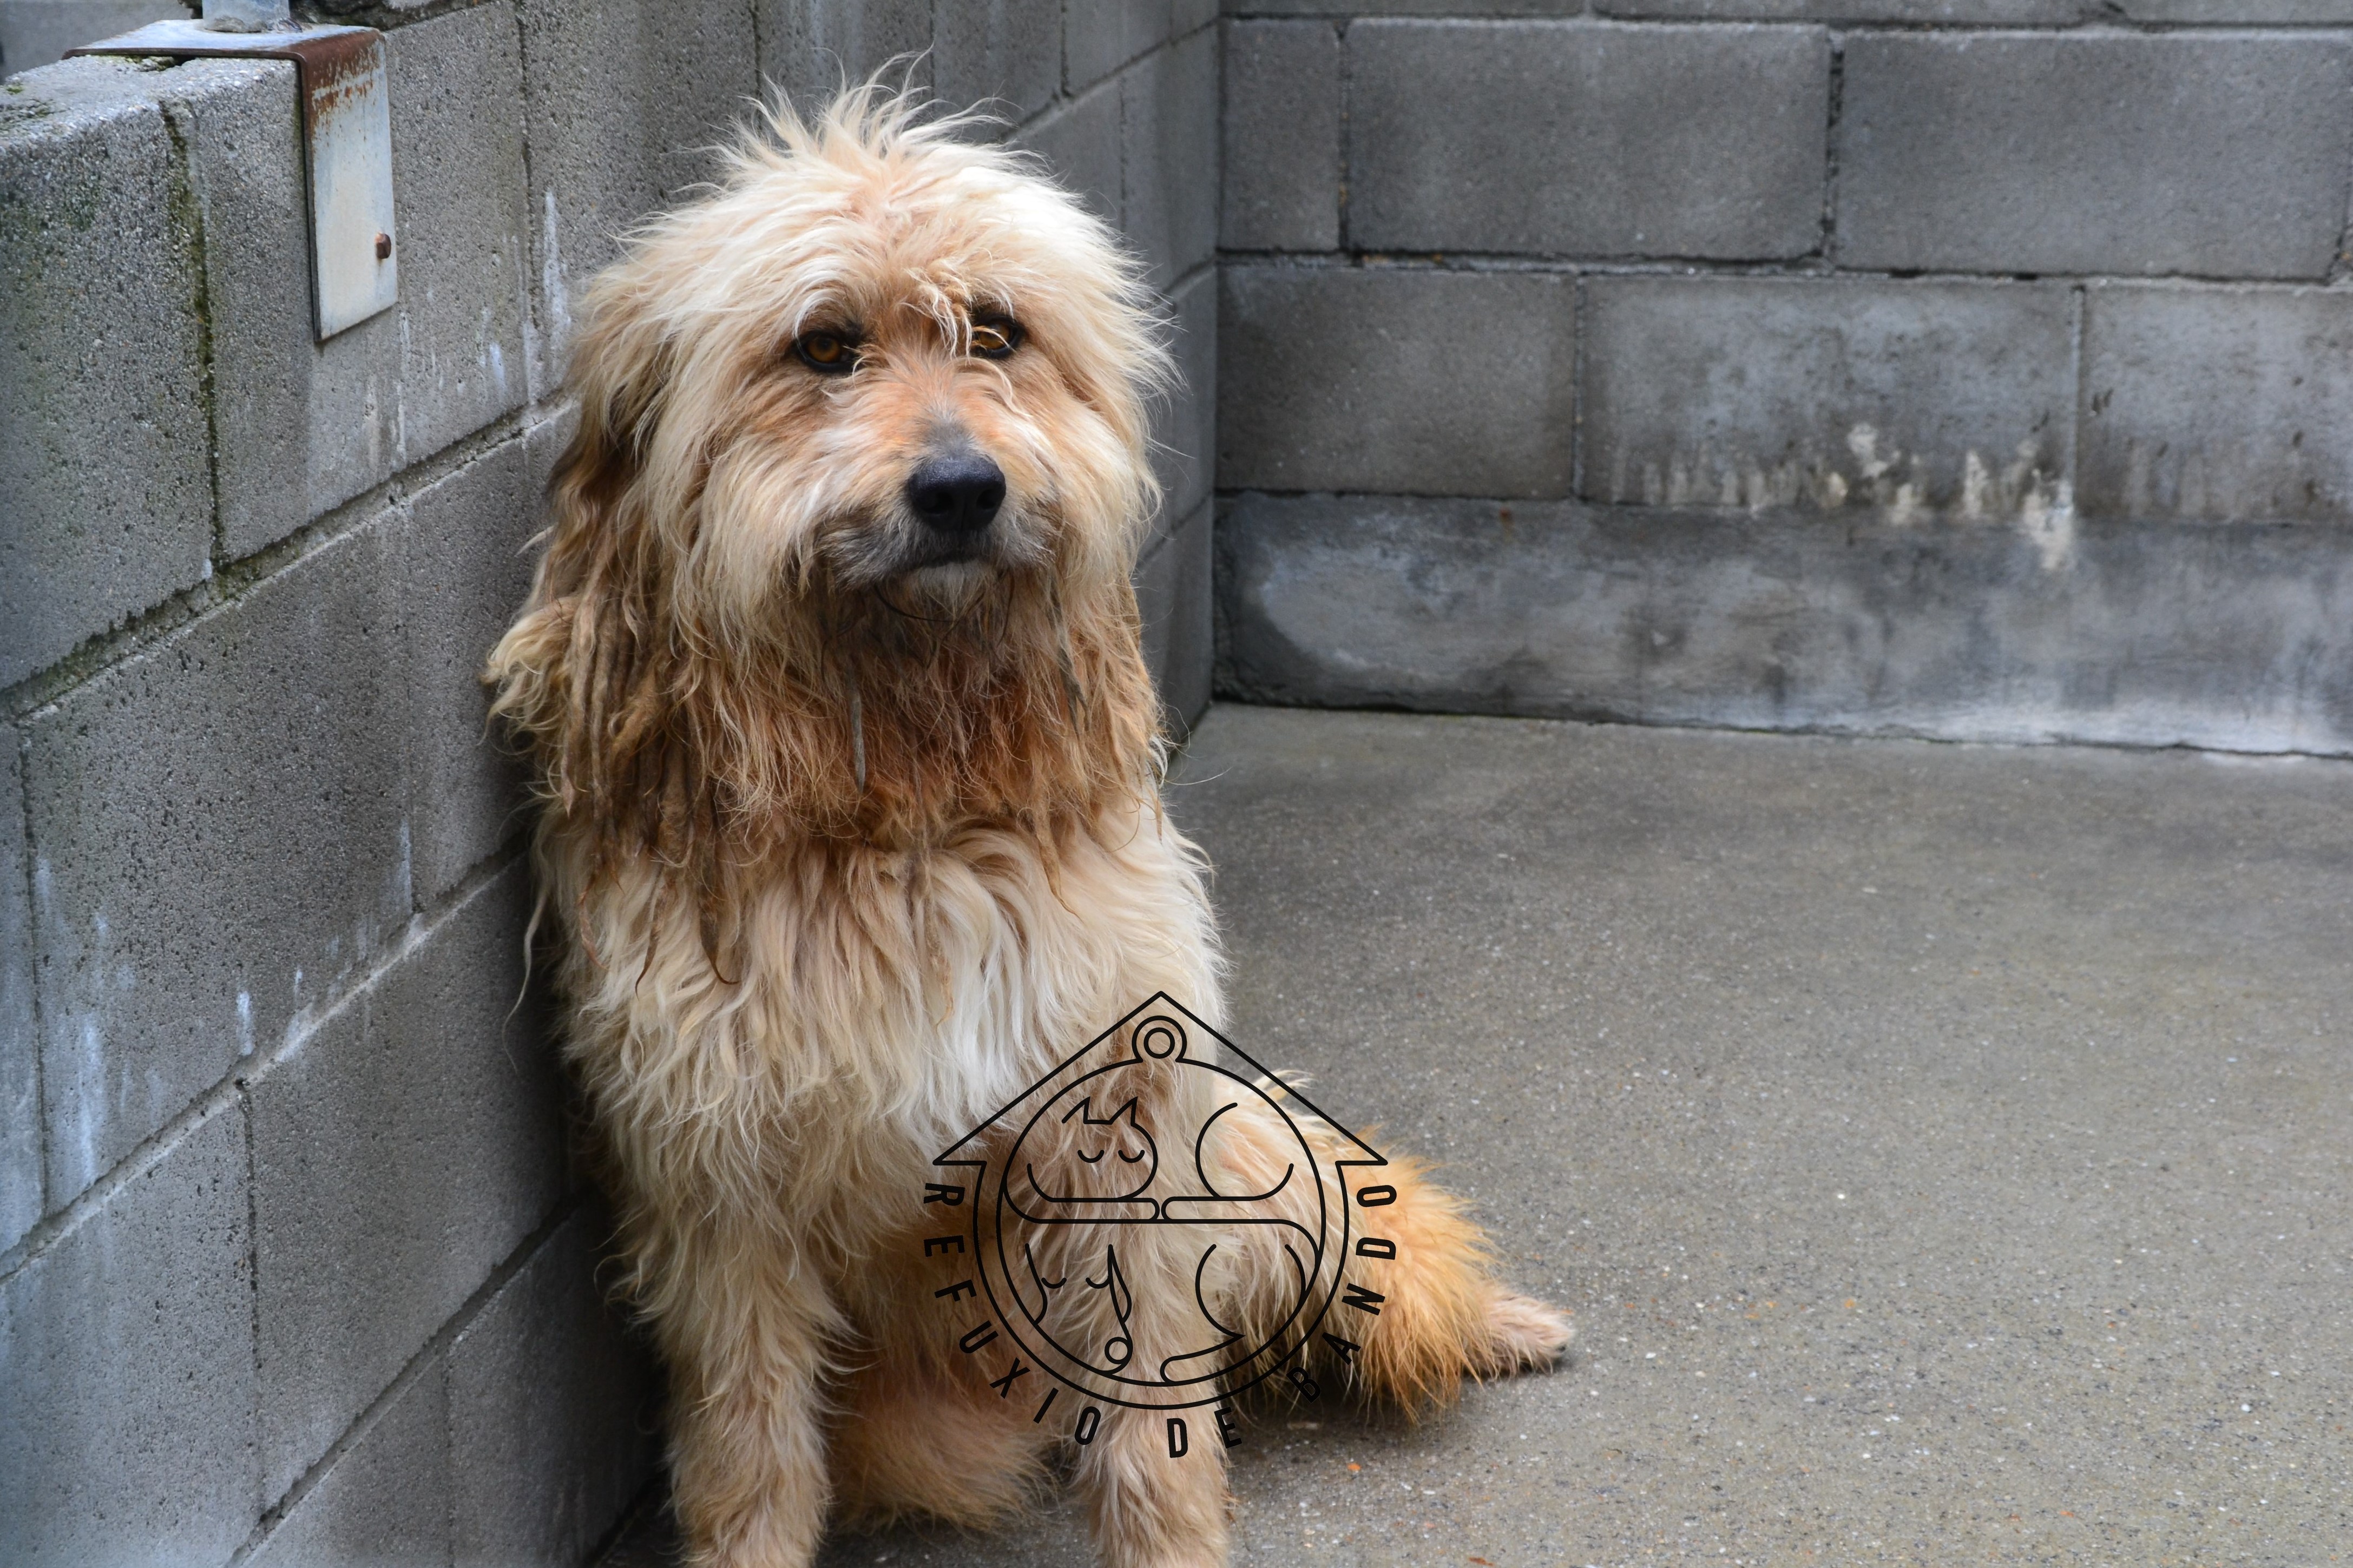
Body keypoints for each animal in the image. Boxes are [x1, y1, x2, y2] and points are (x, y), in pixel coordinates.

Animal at [485, 85, 1570, 1568]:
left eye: (997, 331)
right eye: (821, 347)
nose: (960, 489)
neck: (911, 805)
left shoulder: (1126, 1106)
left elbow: (1156, 1418)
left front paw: (1172, 1544)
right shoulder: (714, 1179)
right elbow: (748, 1440)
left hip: (1247, 1138)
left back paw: (1488, 1322)